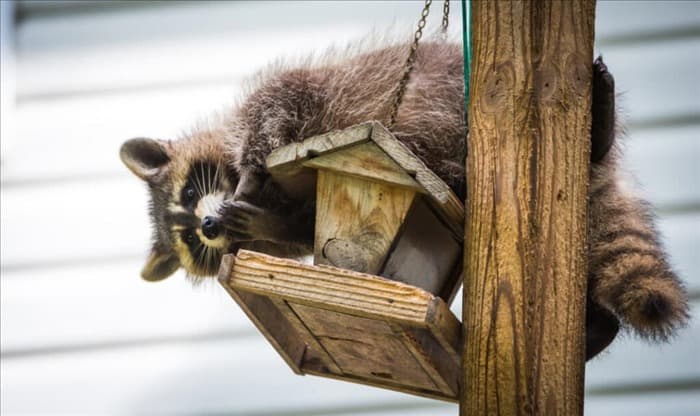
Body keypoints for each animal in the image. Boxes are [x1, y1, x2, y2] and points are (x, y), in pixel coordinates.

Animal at [120, 39, 688, 360]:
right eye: (193, 242)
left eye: (190, 193)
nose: (210, 226)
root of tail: (598, 175)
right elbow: (302, 228)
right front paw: (265, 226)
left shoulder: (292, 100)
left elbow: (278, 104)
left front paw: (251, 170)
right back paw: (598, 328)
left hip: (452, 94)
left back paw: (600, 129)